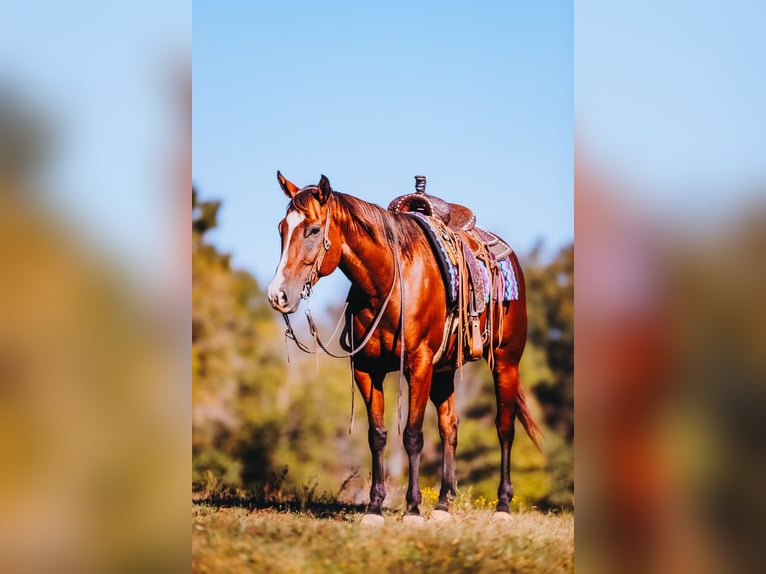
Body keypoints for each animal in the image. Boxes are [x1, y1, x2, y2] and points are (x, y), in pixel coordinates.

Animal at [267, 172, 542, 523]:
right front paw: (374, 508)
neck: (390, 283)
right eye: (281, 229)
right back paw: (442, 505)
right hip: (444, 370)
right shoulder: (368, 370)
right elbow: (377, 435)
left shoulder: (418, 364)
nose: (278, 295)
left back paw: (503, 505)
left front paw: (412, 509)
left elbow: (412, 435)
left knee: (504, 427)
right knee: (450, 427)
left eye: (314, 230)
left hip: (506, 362)